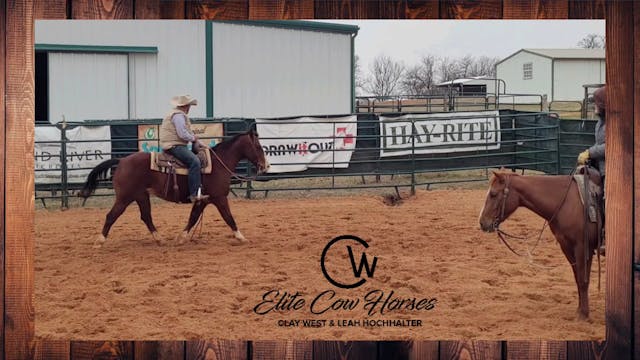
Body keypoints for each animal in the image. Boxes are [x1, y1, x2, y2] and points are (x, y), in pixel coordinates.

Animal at [79, 128, 268, 249]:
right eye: (258, 147)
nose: (265, 166)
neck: (218, 164)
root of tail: (122, 160)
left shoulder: (202, 200)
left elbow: (193, 218)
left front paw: (180, 238)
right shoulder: (219, 198)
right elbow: (229, 217)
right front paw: (241, 237)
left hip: (141, 196)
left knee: (146, 217)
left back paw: (160, 239)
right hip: (125, 197)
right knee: (112, 216)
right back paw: (99, 241)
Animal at [478, 170, 604, 320]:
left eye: (493, 194)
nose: (482, 222)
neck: (566, 202)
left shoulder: (582, 248)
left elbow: (583, 280)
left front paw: (584, 314)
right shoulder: (567, 246)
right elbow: (577, 278)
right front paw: (579, 310)